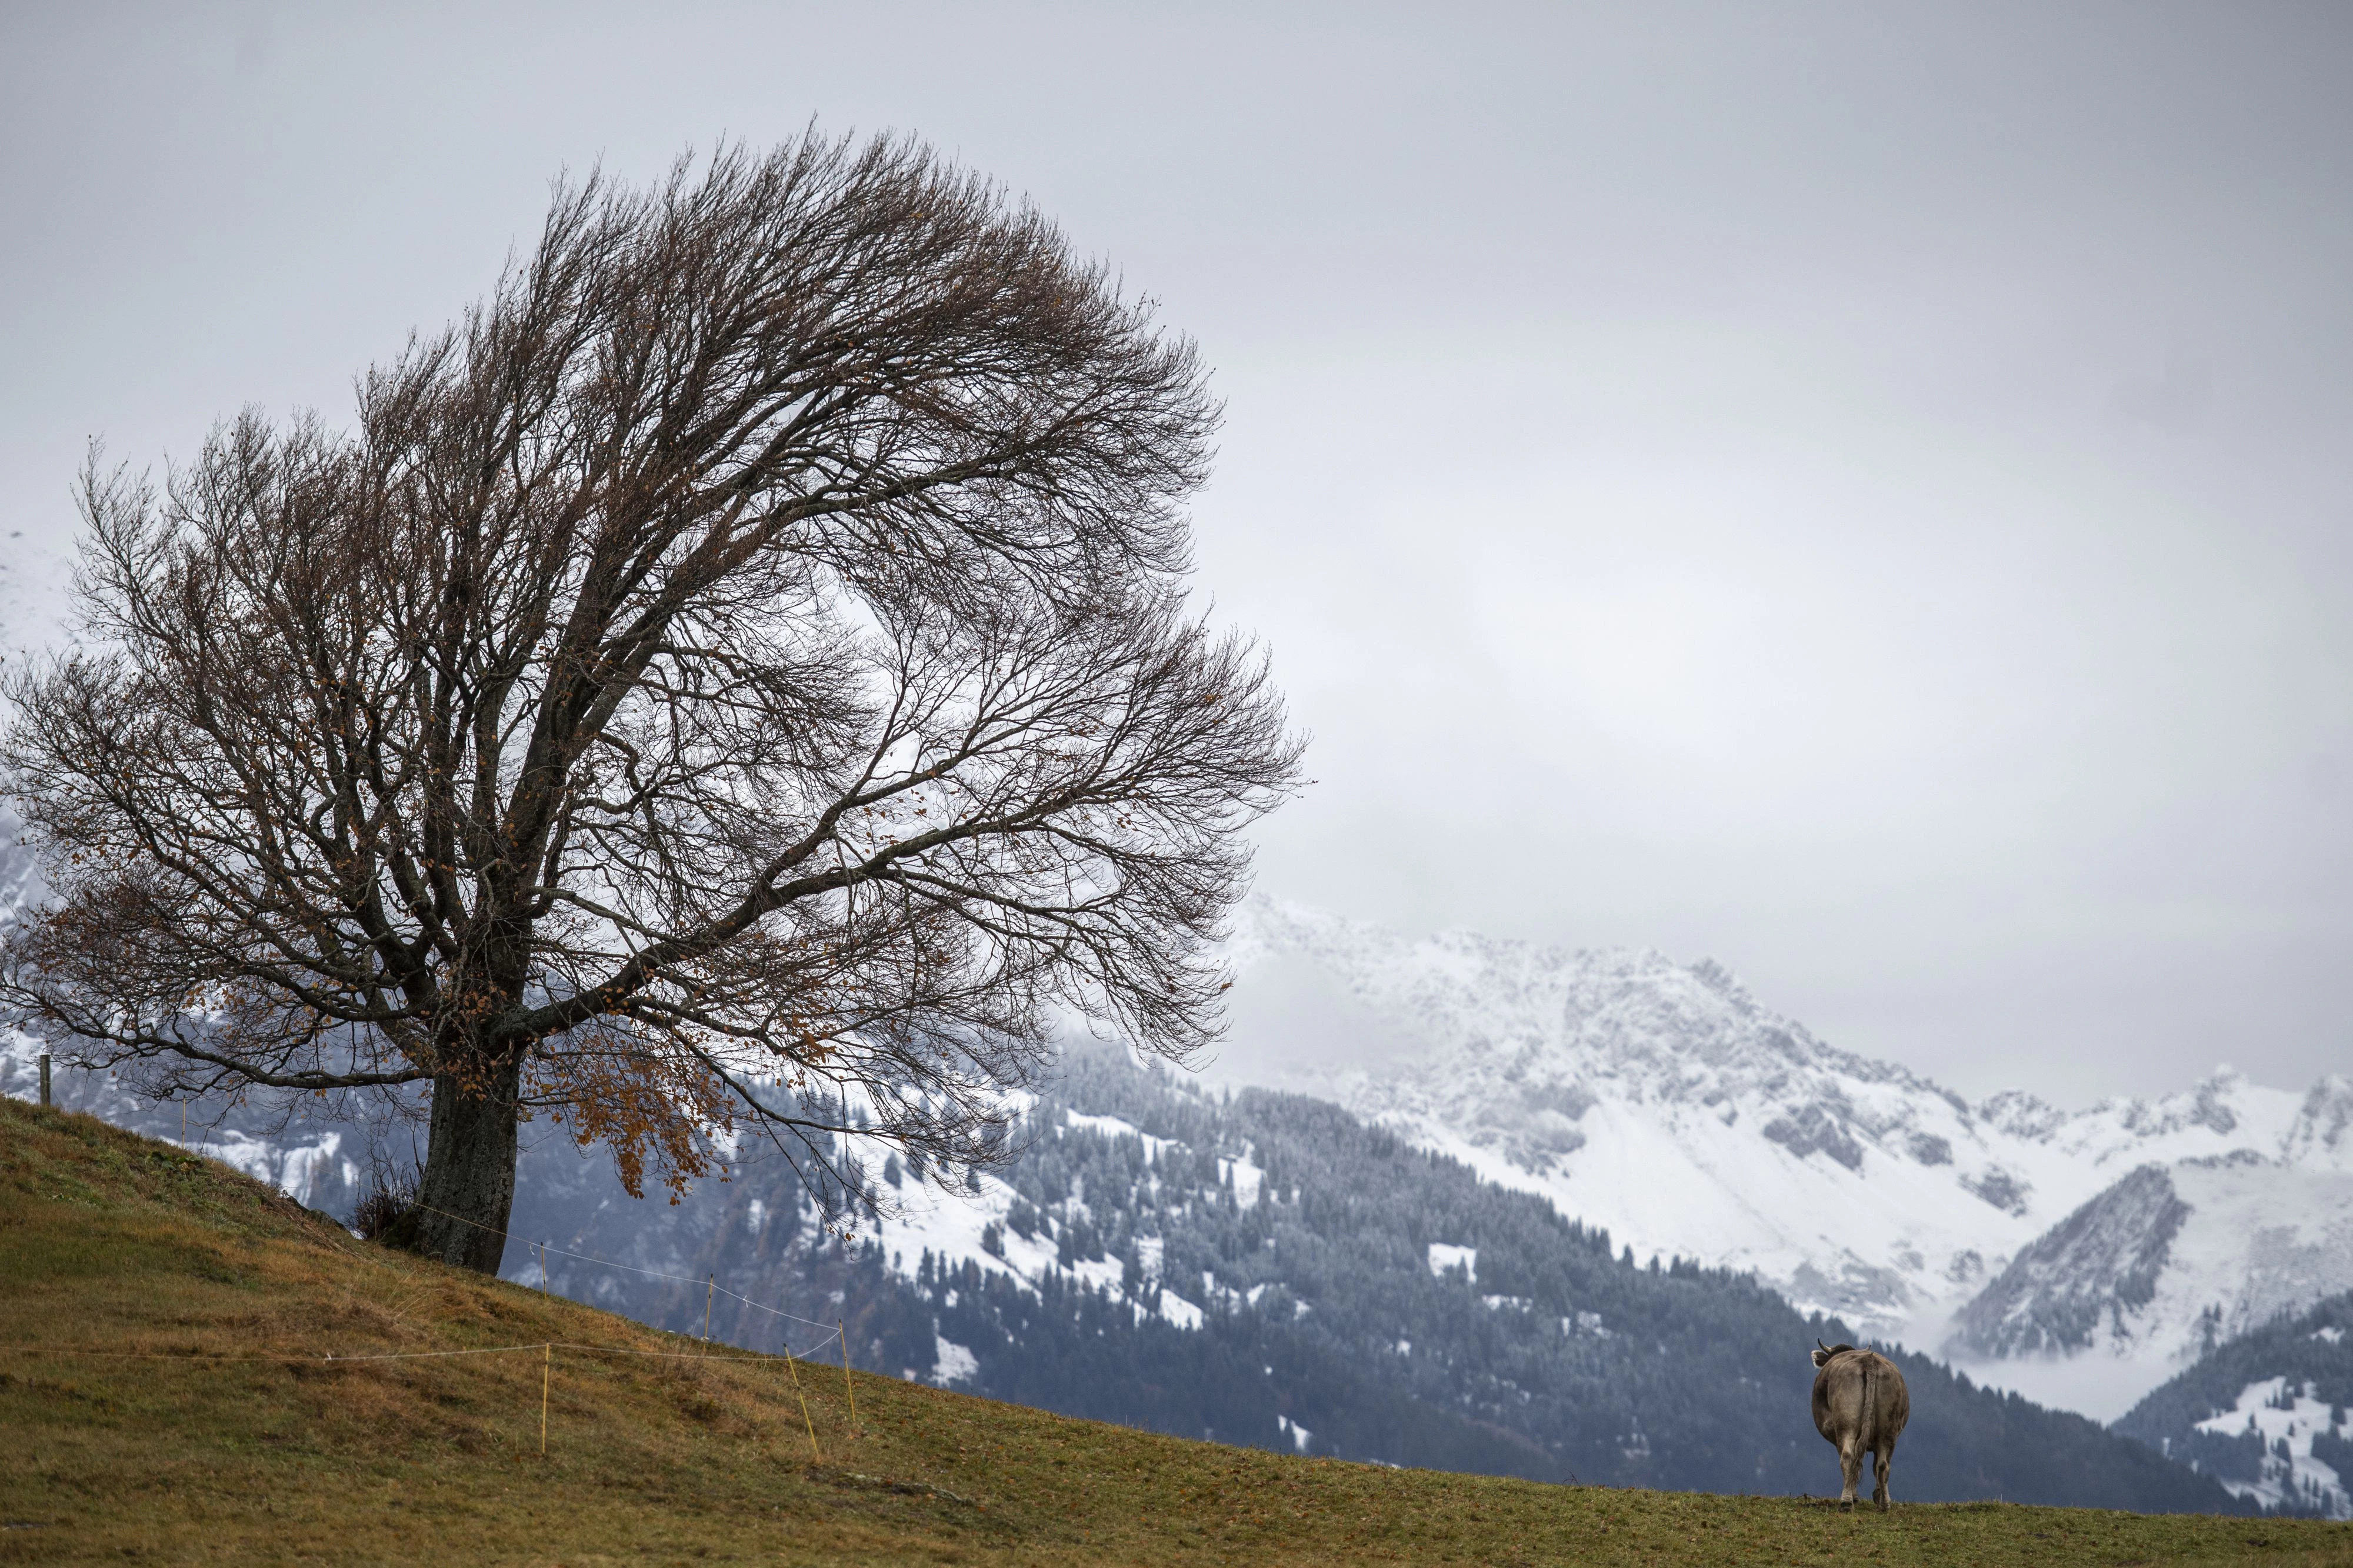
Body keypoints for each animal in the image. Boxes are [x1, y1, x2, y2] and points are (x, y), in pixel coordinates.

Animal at [1810, 1339, 1910, 1510]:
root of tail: (1870, 1361)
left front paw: (1856, 1496)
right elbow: (1875, 1465)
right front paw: (1877, 1495)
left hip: (1846, 1422)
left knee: (1848, 1456)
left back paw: (1847, 1501)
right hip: (1888, 1428)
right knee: (1883, 1464)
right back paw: (1885, 1504)